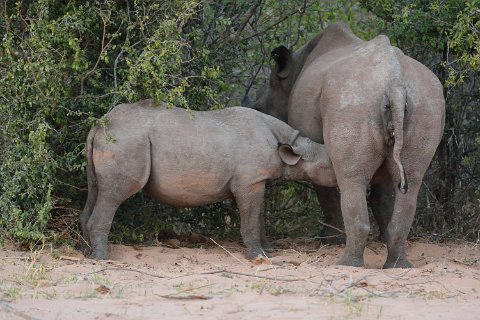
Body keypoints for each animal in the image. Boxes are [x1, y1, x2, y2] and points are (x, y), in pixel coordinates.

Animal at [80, 100, 336, 260]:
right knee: (114, 195)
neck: (290, 144)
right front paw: (258, 257)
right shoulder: (249, 181)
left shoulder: (256, 181)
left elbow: (259, 216)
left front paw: (268, 251)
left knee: (97, 191)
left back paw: (87, 251)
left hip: (114, 141)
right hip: (125, 140)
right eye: (327, 167)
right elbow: (252, 219)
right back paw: (102, 259)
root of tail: (100, 124)